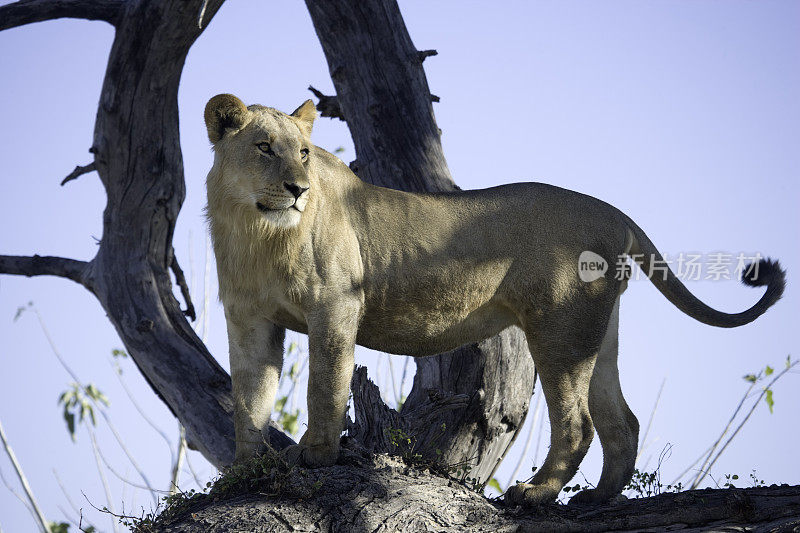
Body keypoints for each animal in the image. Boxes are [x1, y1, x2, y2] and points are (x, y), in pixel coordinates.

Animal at [203, 93, 784, 504]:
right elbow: (249, 398)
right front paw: (244, 471)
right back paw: (597, 499)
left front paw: (317, 456)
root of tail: (615, 213)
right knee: (622, 420)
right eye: (264, 148)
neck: (256, 233)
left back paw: (536, 495)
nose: (298, 189)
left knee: (578, 424)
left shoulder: (337, 307)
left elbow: (325, 386)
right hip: (597, 335)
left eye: (303, 153)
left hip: (560, 330)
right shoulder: (249, 320)